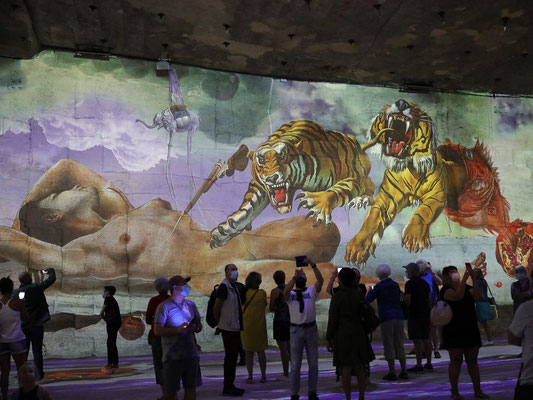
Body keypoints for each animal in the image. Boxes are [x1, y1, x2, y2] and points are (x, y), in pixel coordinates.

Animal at [210, 120, 376, 248]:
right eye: (262, 161)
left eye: (283, 157)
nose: (272, 178)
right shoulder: (259, 184)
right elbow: (250, 204)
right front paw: (227, 229)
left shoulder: (351, 178)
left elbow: (337, 189)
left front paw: (317, 203)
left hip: (361, 172)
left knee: (370, 185)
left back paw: (361, 199)